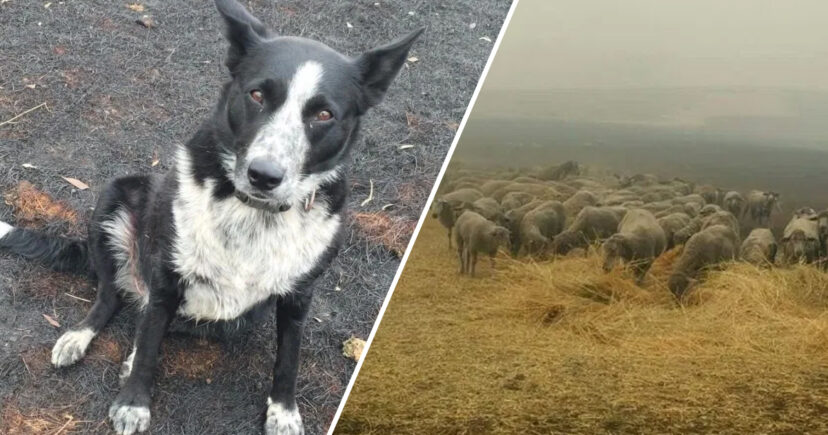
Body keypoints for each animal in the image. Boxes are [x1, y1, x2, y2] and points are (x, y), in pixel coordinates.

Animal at [0, 1, 424, 434]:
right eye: (256, 94)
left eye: (323, 114)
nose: (264, 175)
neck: (253, 213)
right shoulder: (167, 275)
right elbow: (150, 343)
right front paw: (134, 402)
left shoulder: (298, 296)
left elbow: (288, 360)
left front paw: (284, 412)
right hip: (114, 197)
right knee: (111, 296)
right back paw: (80, 338)